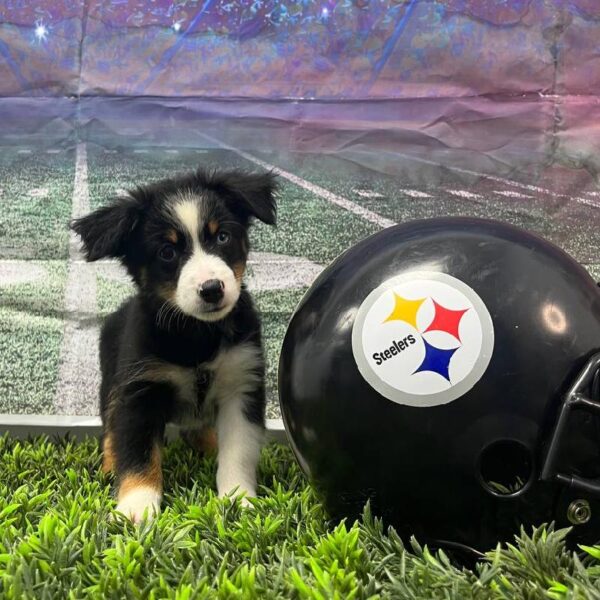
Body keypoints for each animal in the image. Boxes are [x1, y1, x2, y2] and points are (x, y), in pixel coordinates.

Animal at [71, 168, 278, 520]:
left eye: (222, 237)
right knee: (111, 429)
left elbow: (239, 450)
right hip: (110, 384)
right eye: (166, 252)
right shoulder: (139, 390)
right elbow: (138, 452)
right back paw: (110, 465)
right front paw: (136, 507)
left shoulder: (242, 383)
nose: (212, 289)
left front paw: (238, 500)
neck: (196, 335)